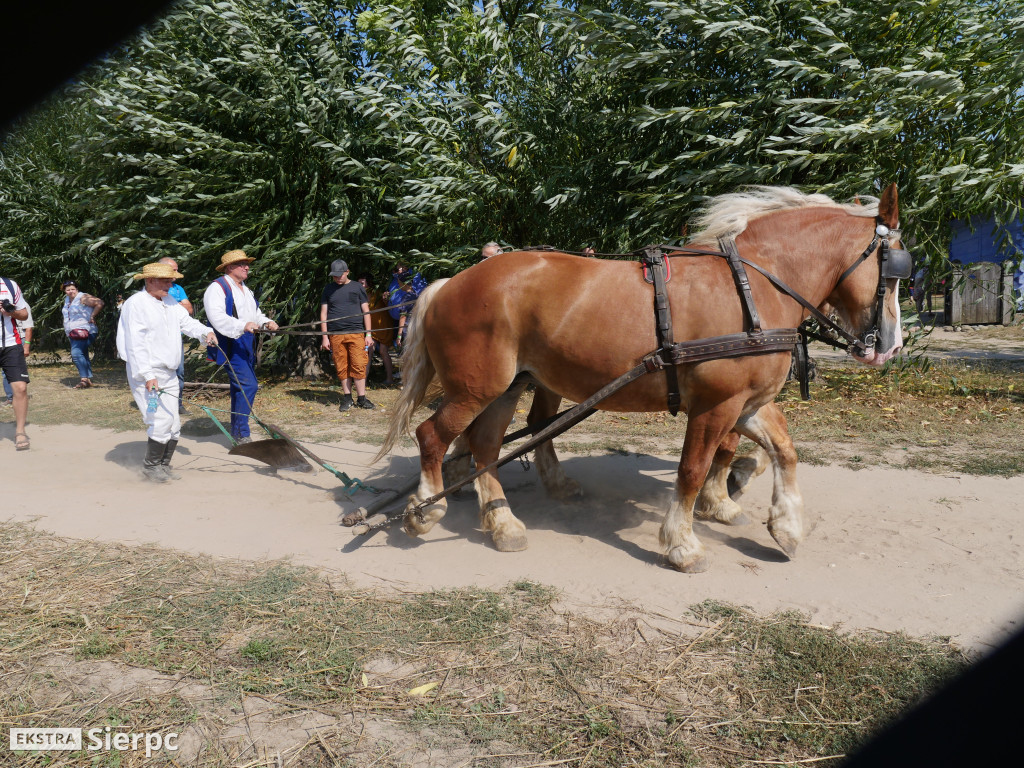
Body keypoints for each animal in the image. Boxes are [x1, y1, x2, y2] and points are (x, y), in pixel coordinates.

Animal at [380, 185, 909, 573]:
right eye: (895, 271)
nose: (891, 345)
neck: (753, 287)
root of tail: (452, 282)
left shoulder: (746, 402)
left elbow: (782, 451)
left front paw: (785, 525)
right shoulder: (716, 405)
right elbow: (693, 469)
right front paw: (683, 543)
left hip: (508, 386)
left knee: (486, 445)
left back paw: (503, 522)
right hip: (478, 388)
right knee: (434, 436)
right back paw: (427, 509)